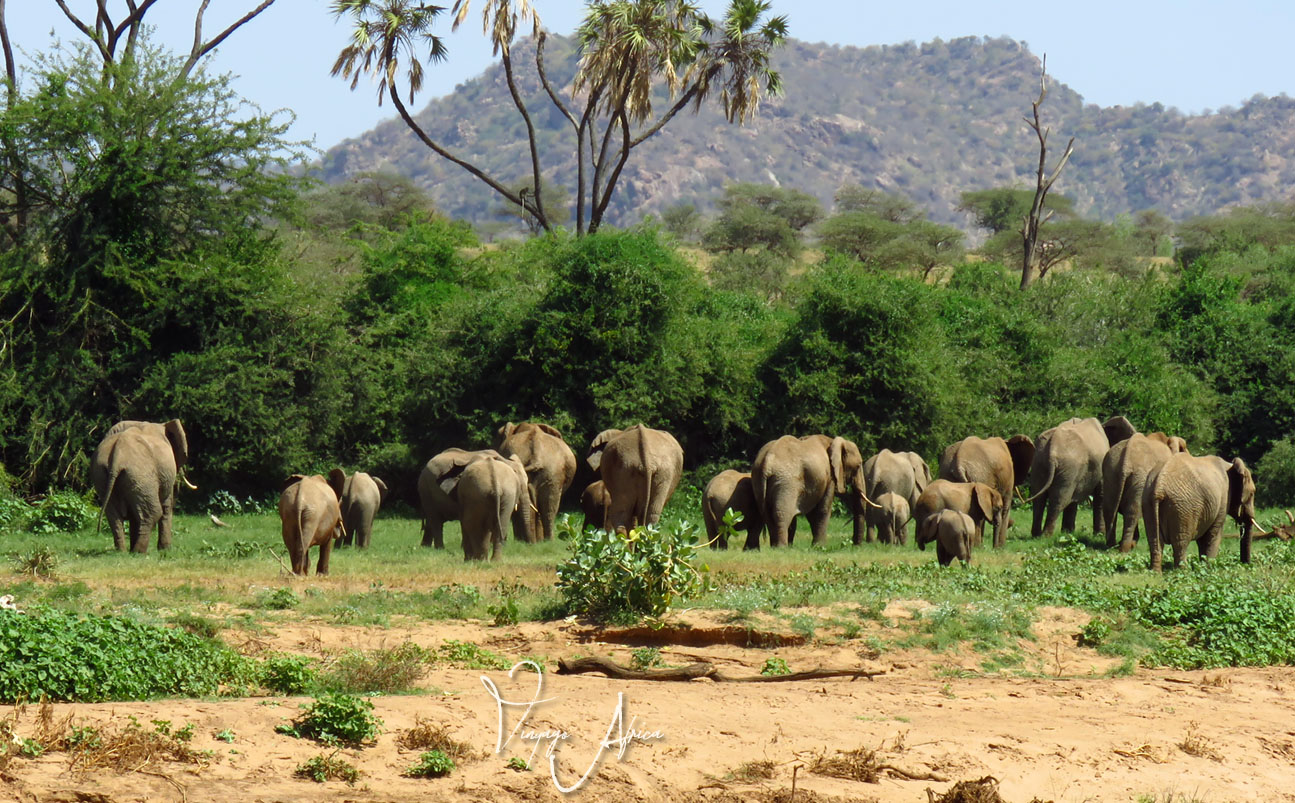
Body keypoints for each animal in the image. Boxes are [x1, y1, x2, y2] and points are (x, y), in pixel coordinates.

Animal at [90, 419, 189, 551]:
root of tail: (118, 456)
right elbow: (167, 504)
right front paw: (165, 550)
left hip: (103, 473)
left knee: (113, 514)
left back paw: (123, 552)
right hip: (141, 475)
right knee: (153, 512)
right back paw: (138, 552)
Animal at [745, 432, 875, 551]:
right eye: (858, 466)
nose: (855, 546)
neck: (833, 441)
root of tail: (766, 462)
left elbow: (812, 514)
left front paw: (816, 546)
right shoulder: (830, 476)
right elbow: (822, 509)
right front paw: (820, 547)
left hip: (758, 482)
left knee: (766, 514)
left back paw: (775, 547)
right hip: (786, 482)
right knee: (782, 514)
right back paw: (782, 548)